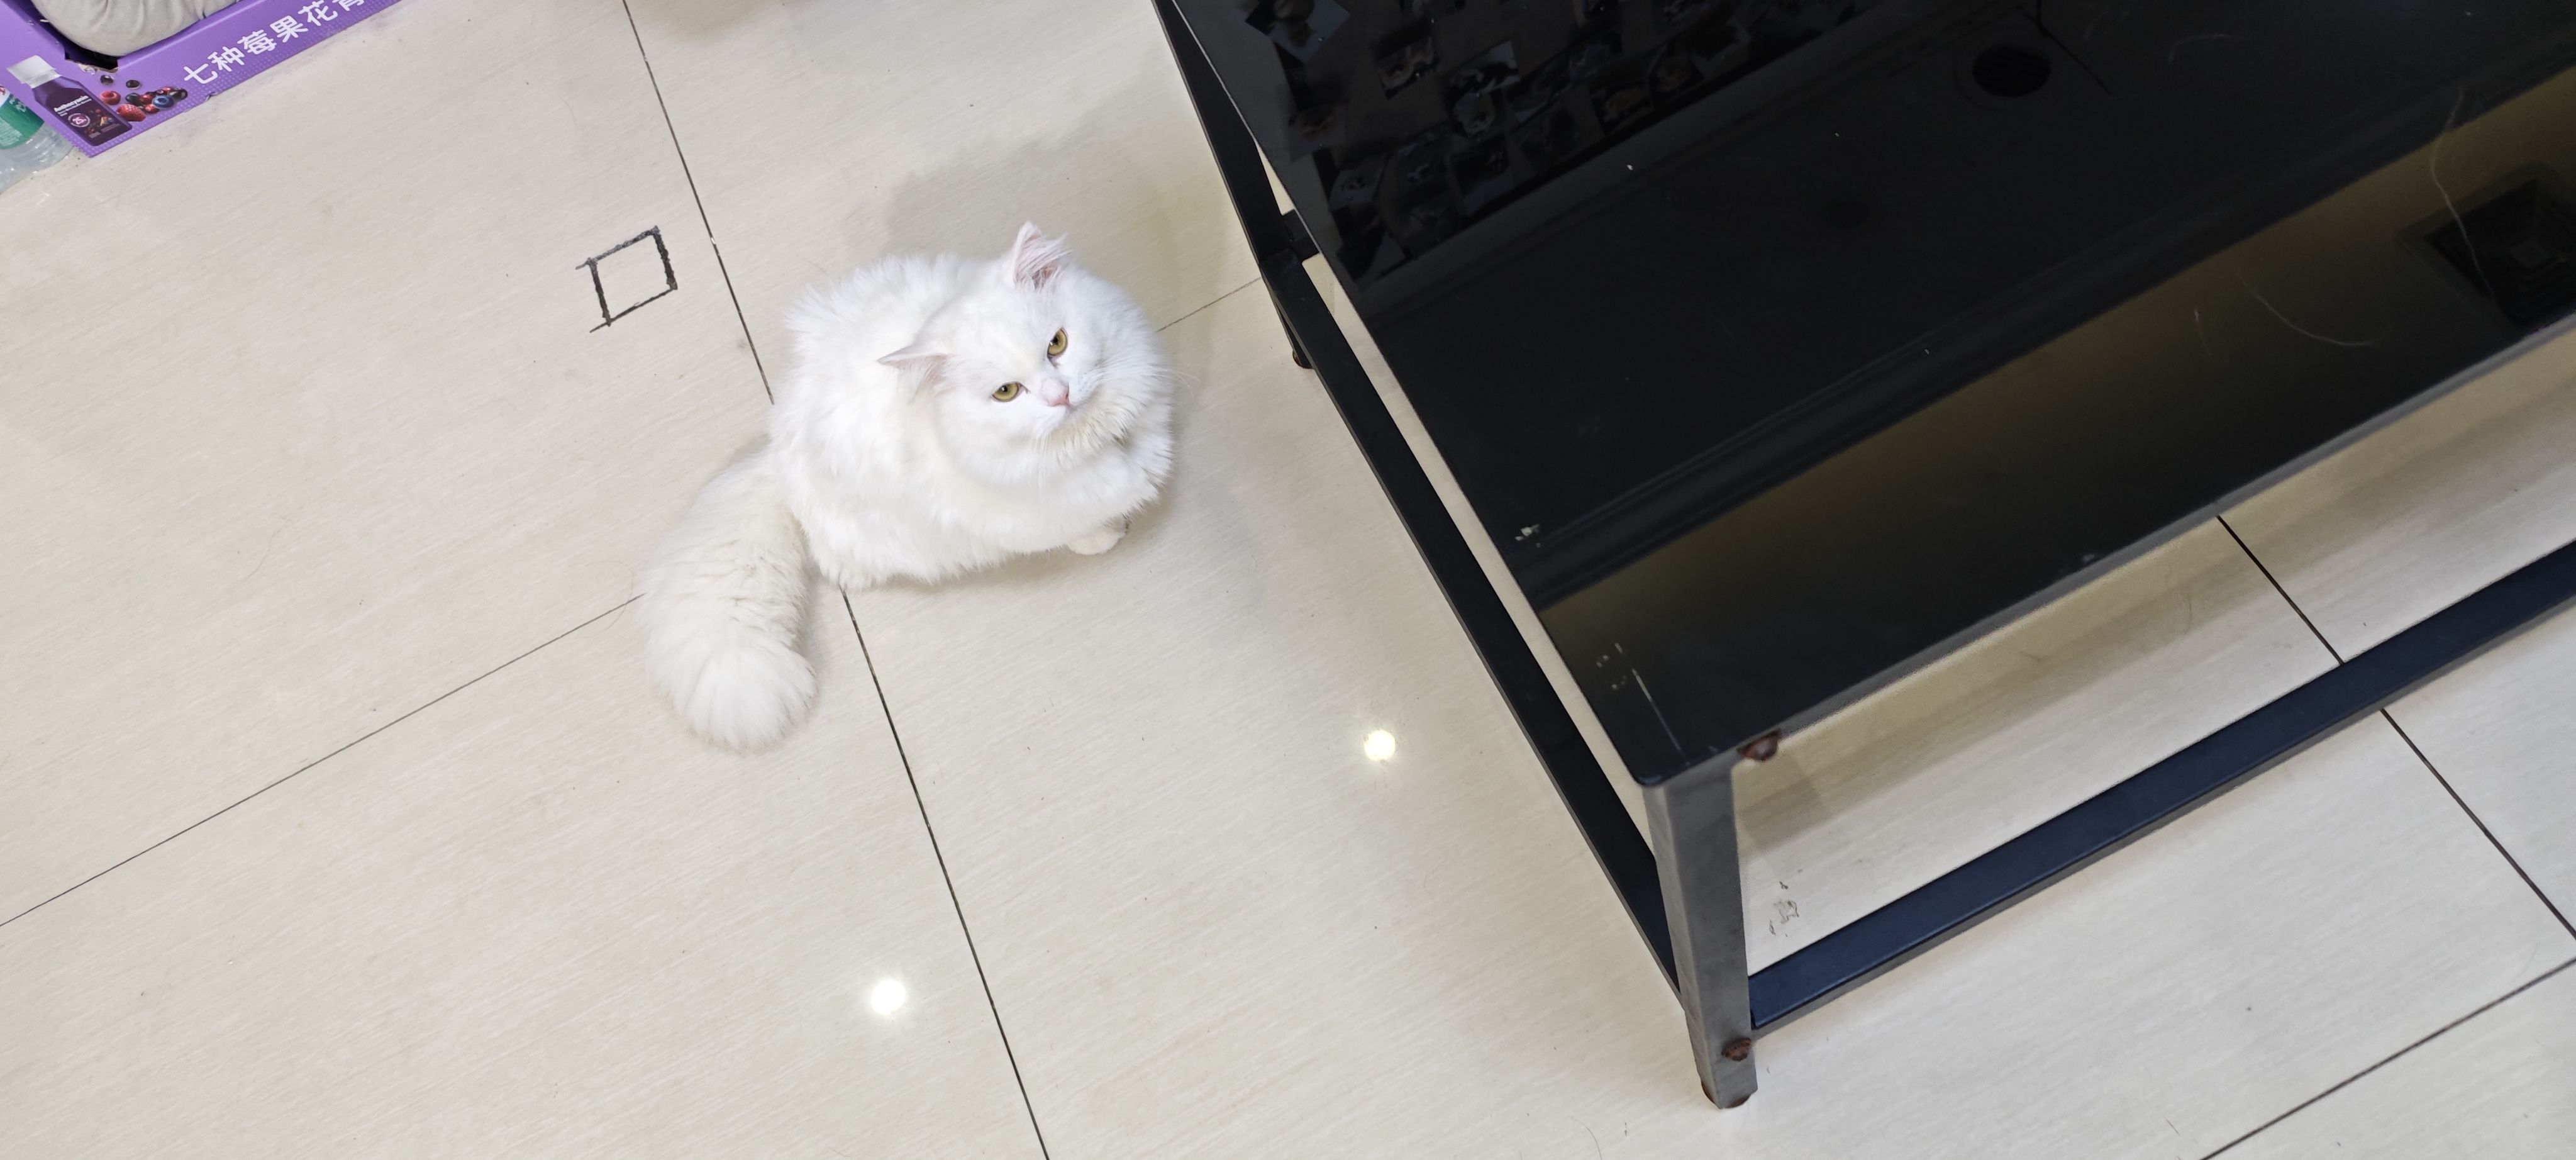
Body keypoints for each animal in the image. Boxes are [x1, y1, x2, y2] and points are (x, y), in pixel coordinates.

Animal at [638, 224, 1175, 749]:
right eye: (1006, 393)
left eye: (1057, 344)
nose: (1060, 396)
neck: (1096, 439)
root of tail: (775, 452)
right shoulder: (1025, 516)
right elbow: (1081, 525)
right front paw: (1107, 535)